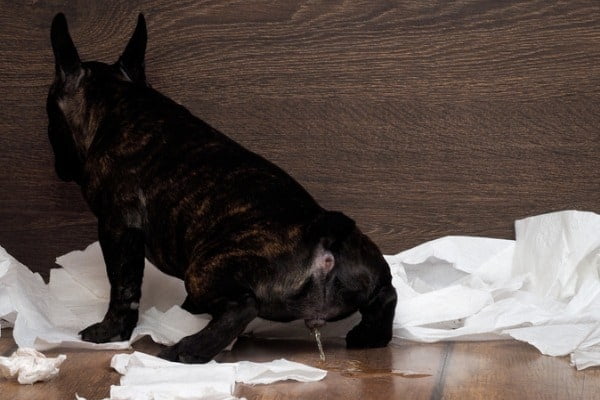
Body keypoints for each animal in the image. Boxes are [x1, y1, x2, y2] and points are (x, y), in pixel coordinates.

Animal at [45, 12, 394, 362]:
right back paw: (370, 335)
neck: (118, 99)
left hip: (204, 269)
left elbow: (123, 285)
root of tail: (323, 234)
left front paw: (109, 332)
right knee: (387, 294)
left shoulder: (117, 227)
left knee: (242, 306)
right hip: (372, 264)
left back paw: (185, 350)